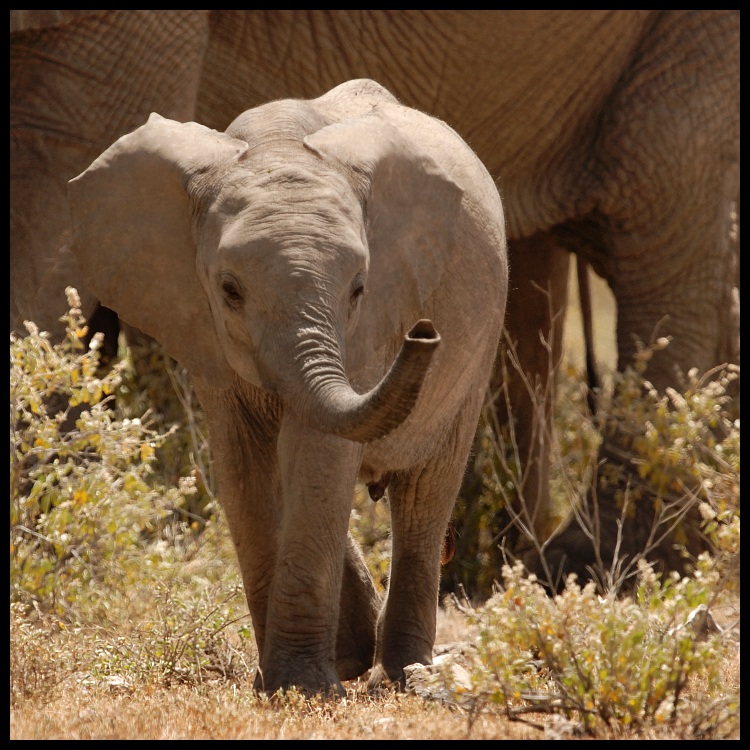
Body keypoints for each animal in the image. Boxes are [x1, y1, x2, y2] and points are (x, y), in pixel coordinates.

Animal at [10, 8, 740, 592]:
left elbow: (57, 150)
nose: (420, 334)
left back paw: (585, 569)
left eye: (362, 289)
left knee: (667, 223)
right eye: (228, 291)